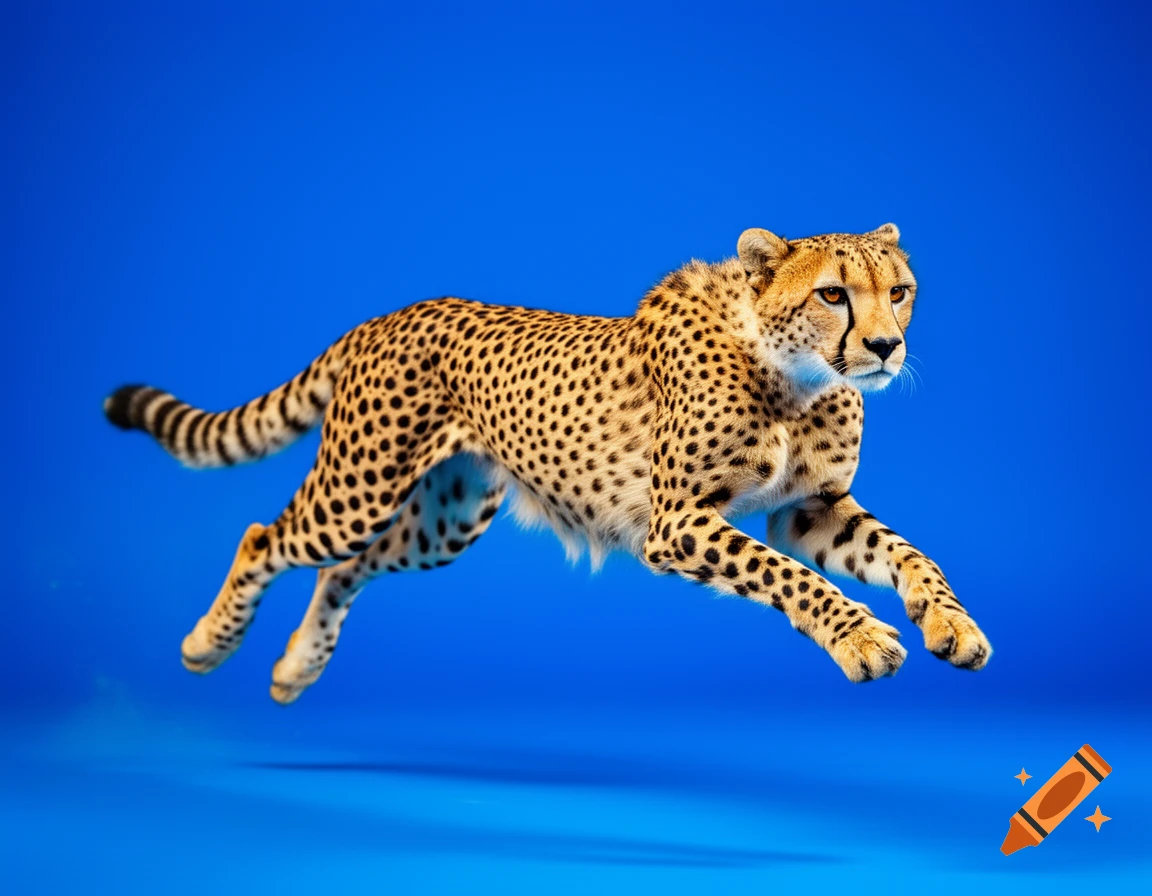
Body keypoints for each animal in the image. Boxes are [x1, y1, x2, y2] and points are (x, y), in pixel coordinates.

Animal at [104, 223, 991, 704]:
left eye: (900, 291)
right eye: (833, 295)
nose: (886, 346)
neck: (797, 379)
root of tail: (388, 314)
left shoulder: (809, 510)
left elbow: (908, 552)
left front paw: (951, 622)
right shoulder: (678, 523)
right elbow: (791, 578)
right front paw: (861, 637)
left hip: (445, 519)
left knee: (345, 568)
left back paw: (294, 669)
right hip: (359, 488)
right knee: (266, 536)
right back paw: (207, 645)